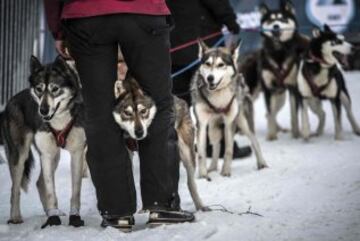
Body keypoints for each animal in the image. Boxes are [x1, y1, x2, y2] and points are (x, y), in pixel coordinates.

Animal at [0, 56, 86, 228]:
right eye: (39, 89)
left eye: (55, 89)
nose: (43, 110)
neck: (59, 120)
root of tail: (11, 101)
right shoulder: (46, 154)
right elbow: (50, 191)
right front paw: (53, 219)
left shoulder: (77, 153)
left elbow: (76, 190)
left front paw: (74, 217)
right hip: (20, 155)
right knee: (15, 189)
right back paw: (16, 217)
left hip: (55, 156)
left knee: (39, 183)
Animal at [112, 75, 208, 211]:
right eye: (127, 113)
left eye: (143, 111)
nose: (139, 132)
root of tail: (180, 99)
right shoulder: (128, 152)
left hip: (186, 153)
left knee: (191, 183)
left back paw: (199, 205)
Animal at [191, 40, 268, 179]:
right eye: (208, 63)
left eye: (221, 64)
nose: (210, 78)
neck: (218, 98)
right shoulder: (202, 123)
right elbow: (201, 153)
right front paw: (203, 176)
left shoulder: (229, 122)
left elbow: (228, 149)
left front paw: (226, 172)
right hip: (213, 128)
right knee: (216, 146)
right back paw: (212, 167)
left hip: (243, 123)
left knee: (254, 141)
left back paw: (262, 164)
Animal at [240, 0, 308, 139]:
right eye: (270, 20)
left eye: (282, 18)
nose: (275, 26)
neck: (279, 53)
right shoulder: (268, 89)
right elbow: (270, 114)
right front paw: (271, 136)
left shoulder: (293, 88)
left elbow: (293, 115)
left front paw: (296, 134)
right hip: (251, 93)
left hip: (280, 97)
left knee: (268, 114)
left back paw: (280, 129)